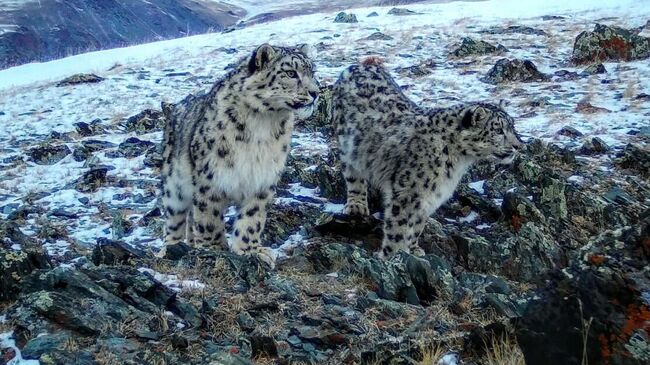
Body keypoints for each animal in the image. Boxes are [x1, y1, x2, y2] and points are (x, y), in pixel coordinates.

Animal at [158, 44, 318, 266]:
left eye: (313, 72)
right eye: (291, 73)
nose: (316, 92)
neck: (264, 126)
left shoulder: (262, 179)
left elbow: (251, 219)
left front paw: (251, 251)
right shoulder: (211, 179)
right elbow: (209, 217)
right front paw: (214, 248)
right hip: (175, 186)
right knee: (175, 219)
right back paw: (170, 248)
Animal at [332, 61, 524, 258]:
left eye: (512, 126)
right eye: (498, 130)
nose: (519, 145)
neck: (458, 163)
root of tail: (358, 65)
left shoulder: (431, 195)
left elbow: (418, 223)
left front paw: (414, 249)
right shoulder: (408, 192)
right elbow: (398, 227)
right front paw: (392, 254)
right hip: (348, 148)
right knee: (353, 177)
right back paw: (356, 206)